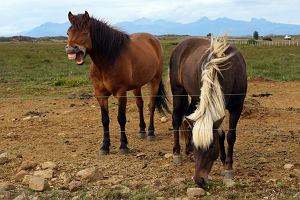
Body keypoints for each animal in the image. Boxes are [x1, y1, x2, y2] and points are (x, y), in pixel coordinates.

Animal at [65, 10, 169, 155]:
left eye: (85, 33)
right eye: (68, 32)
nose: (71, 49)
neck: (107, 61)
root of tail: (154, 40)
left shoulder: (121, 92)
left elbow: (121, 118)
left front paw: (123, 145)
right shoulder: (100, 95)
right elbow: (105, 120)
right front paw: (104, 147)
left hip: (155, 80)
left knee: (151, 105)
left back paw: (151, 133)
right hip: (137, 85)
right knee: (140, 104)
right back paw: (142, 131)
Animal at [170, 36, 247, 188]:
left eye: (211, 146)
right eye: (197, 147)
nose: (199, 180)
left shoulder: (237, 107)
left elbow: (229, 136)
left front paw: (227, 166)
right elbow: (221, 133)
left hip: (195, 98)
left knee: (187, 118)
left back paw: (186, 149)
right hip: (178, 90)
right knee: (176, 118)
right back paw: (177, 153)